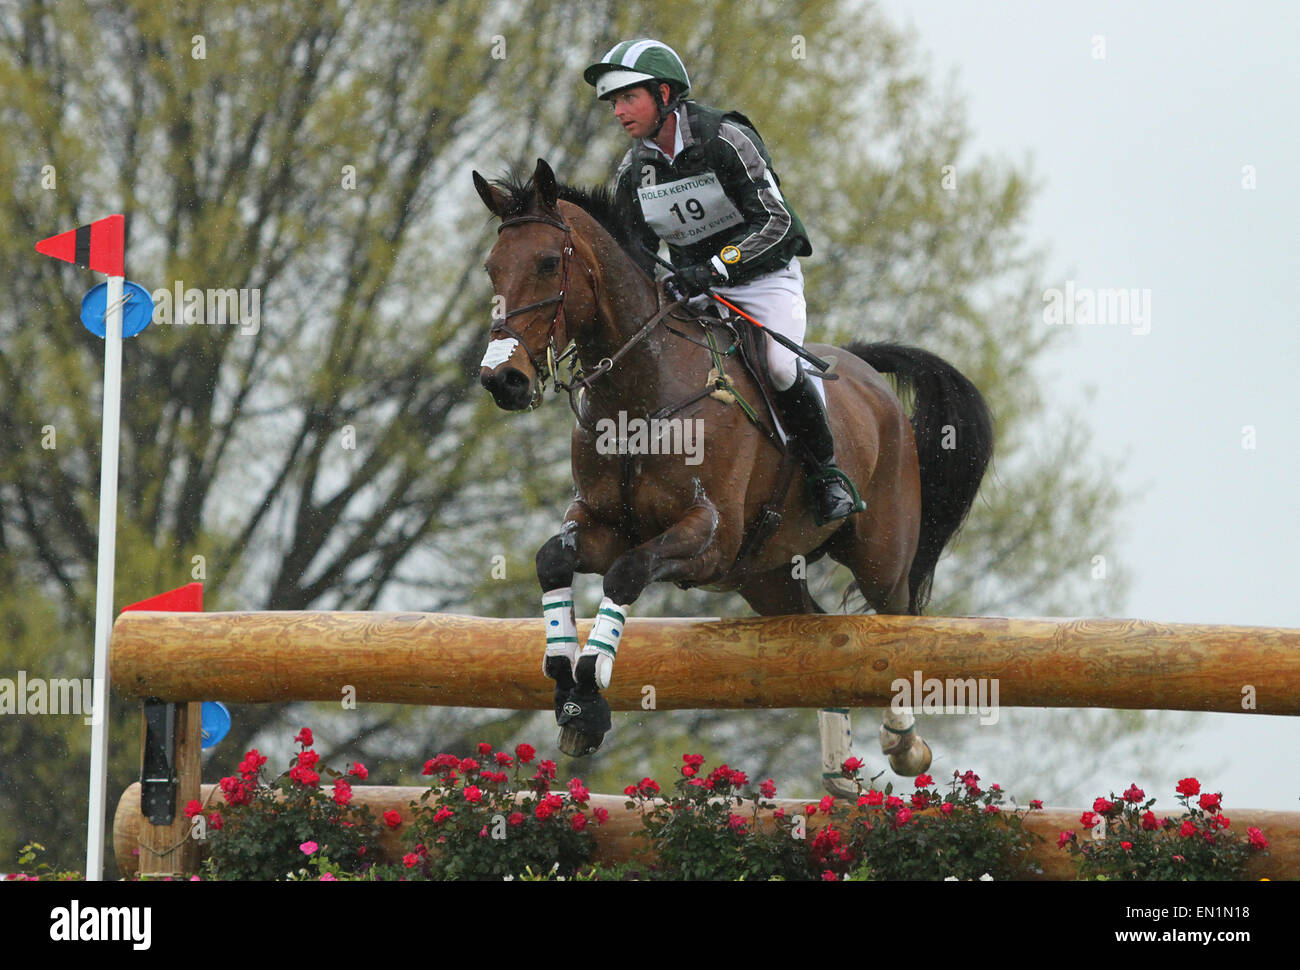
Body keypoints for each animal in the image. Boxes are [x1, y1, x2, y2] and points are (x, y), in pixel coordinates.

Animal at [478, 156, 993, 795]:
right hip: (764, 575)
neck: (639, 395)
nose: (502, 380)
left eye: (549, 262)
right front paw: (564, 679)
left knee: (897, 622)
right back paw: (838, 770)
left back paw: (903, 741)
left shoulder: (710, 535)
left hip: (879, 554)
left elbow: (627, 573)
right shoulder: (602, 523)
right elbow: (553, 557)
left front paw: (589, 693)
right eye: (492, 268)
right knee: (818, 628)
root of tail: (867, 374)